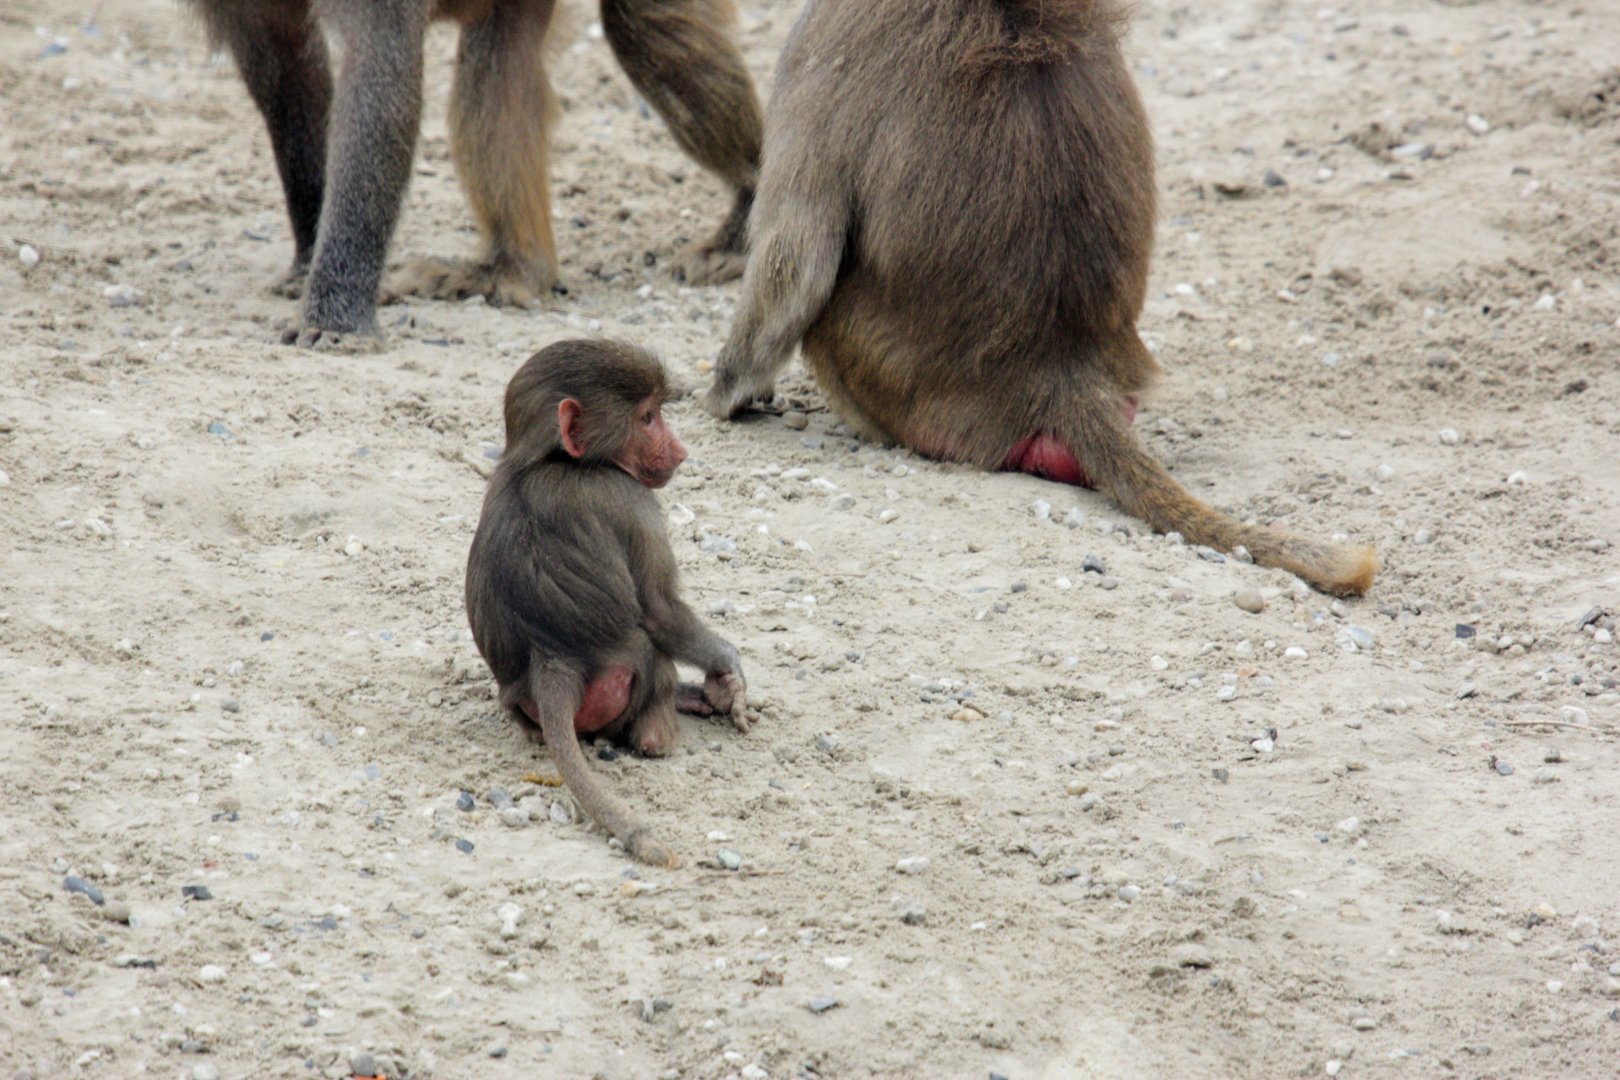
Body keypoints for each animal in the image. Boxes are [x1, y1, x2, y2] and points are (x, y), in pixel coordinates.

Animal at [190, 0, 763, 346]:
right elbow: (284, 66)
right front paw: (308, 264)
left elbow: (379, 77)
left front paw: (335, 320)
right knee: (498, 58)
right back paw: (511, 270)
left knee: (646, 32)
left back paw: (744, 222)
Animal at [465, 339, 749, 866]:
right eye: (648, 417)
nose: (681, 450)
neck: (550, 460)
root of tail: (553, 662)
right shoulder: (629, 497)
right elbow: (660, 609)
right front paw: (728, 673)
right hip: (623, 686)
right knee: (651, 651)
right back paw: (661, 732)